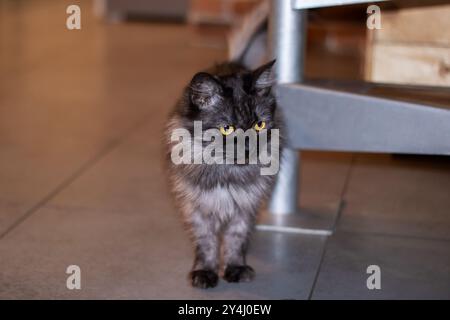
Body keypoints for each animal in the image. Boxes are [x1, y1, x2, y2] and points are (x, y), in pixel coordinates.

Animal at [165, 59, 284, 288]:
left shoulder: (245, 207)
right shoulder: (197, 209)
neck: (227, 173)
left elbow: (236, 239)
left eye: (259, 125)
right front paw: (204, 272)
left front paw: (235, 268)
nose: (248, 150)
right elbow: (207, 243)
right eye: (227, 129)